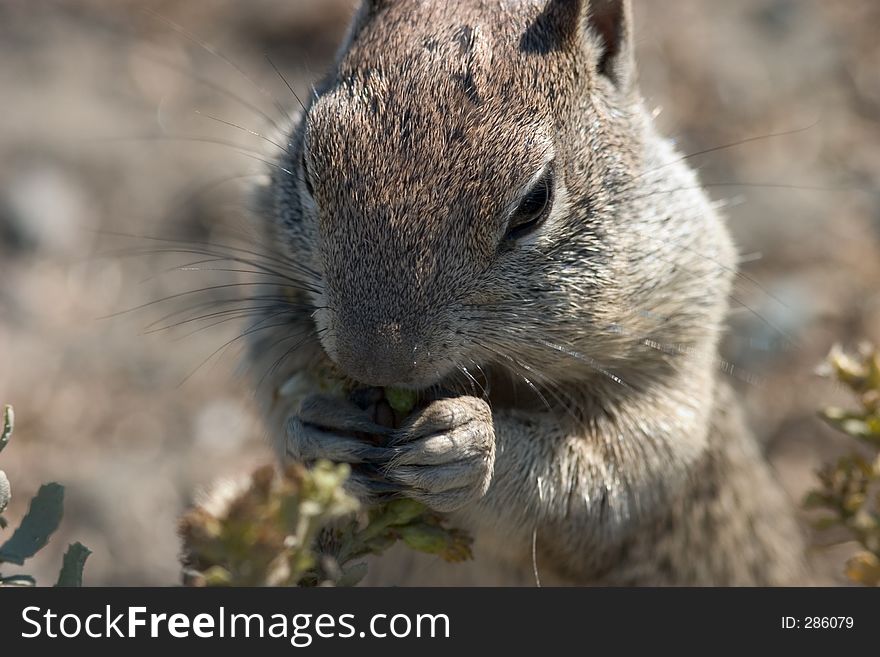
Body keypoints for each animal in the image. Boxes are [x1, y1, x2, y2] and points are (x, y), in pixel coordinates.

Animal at [244, 0, 808, 584]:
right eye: (308, 168)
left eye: (535, 202)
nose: (375, 363)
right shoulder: (274, 296)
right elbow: (274, 385)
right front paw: (316, 433)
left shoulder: (675, 345)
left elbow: (607, 473)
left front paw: (471, 446)